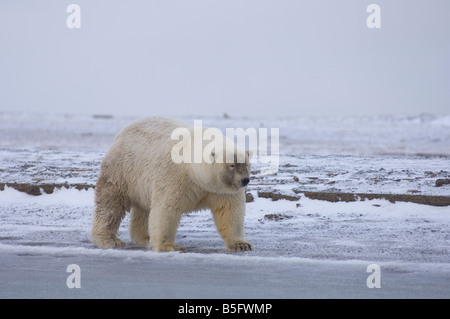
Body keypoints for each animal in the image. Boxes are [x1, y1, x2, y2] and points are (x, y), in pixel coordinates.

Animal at [90, 117, 253, 252]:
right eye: (232, 165)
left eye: (246, 164)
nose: (245, 180)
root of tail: (121, 133)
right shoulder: (175, 177)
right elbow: (166, 209)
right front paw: (169, 246)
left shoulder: (221, 190)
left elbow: (230, 211)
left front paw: (241, 245)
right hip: (122, 170)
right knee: (111, 204)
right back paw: (109, 240)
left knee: (143, 209)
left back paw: (145, 238)